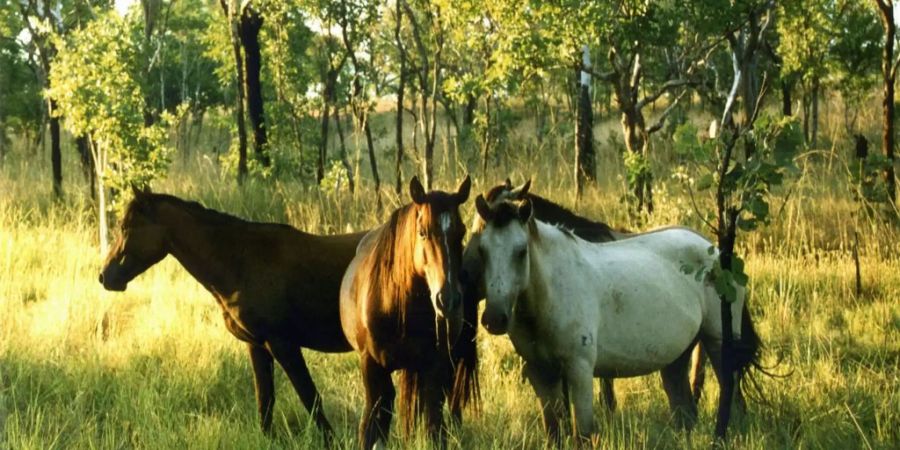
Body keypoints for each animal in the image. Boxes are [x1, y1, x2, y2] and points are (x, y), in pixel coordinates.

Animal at [98, 185, 366, 440]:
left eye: (126, 227)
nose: (105, 276)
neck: (240, 262)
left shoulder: (283, 344)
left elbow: (310, 398)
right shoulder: (257, 345)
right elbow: (265, 401)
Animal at [342, 176, 474, 450]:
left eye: (462, 232)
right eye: (423, 232)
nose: (447, 300)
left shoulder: (435, 366)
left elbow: (434, 424)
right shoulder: (371, 366)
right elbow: (372, 422)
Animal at [472, 192, 760, 442]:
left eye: (521, 251)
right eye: (482, 251)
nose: (494, 319)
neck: (549, 292)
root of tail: (717, 251)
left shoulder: (580, 370)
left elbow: (583, 435)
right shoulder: (541, 373)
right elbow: (554, 433)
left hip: (718, 342)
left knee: (732, 397)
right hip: (677, 358)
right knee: (686, 412)